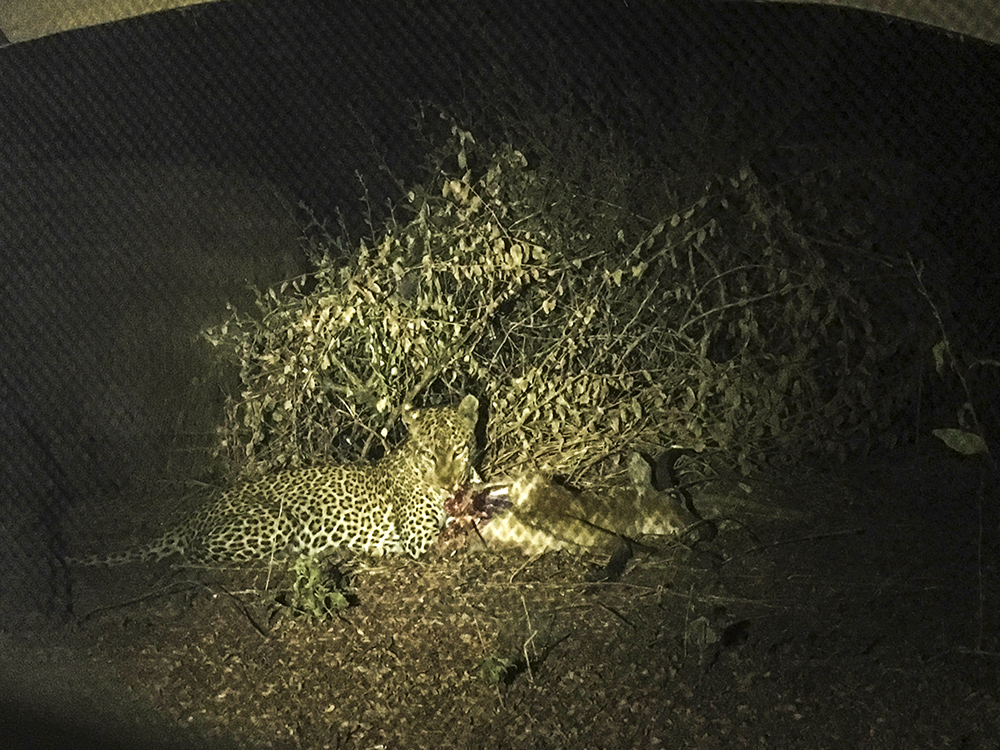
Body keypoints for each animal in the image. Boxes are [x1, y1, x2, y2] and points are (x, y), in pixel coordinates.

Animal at [69, 396, 476, 568]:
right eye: (429, 454)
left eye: (458, 450)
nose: (448, 485)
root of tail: (198, 513)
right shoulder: (420, 537)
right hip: (274, 520)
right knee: (196, 553)